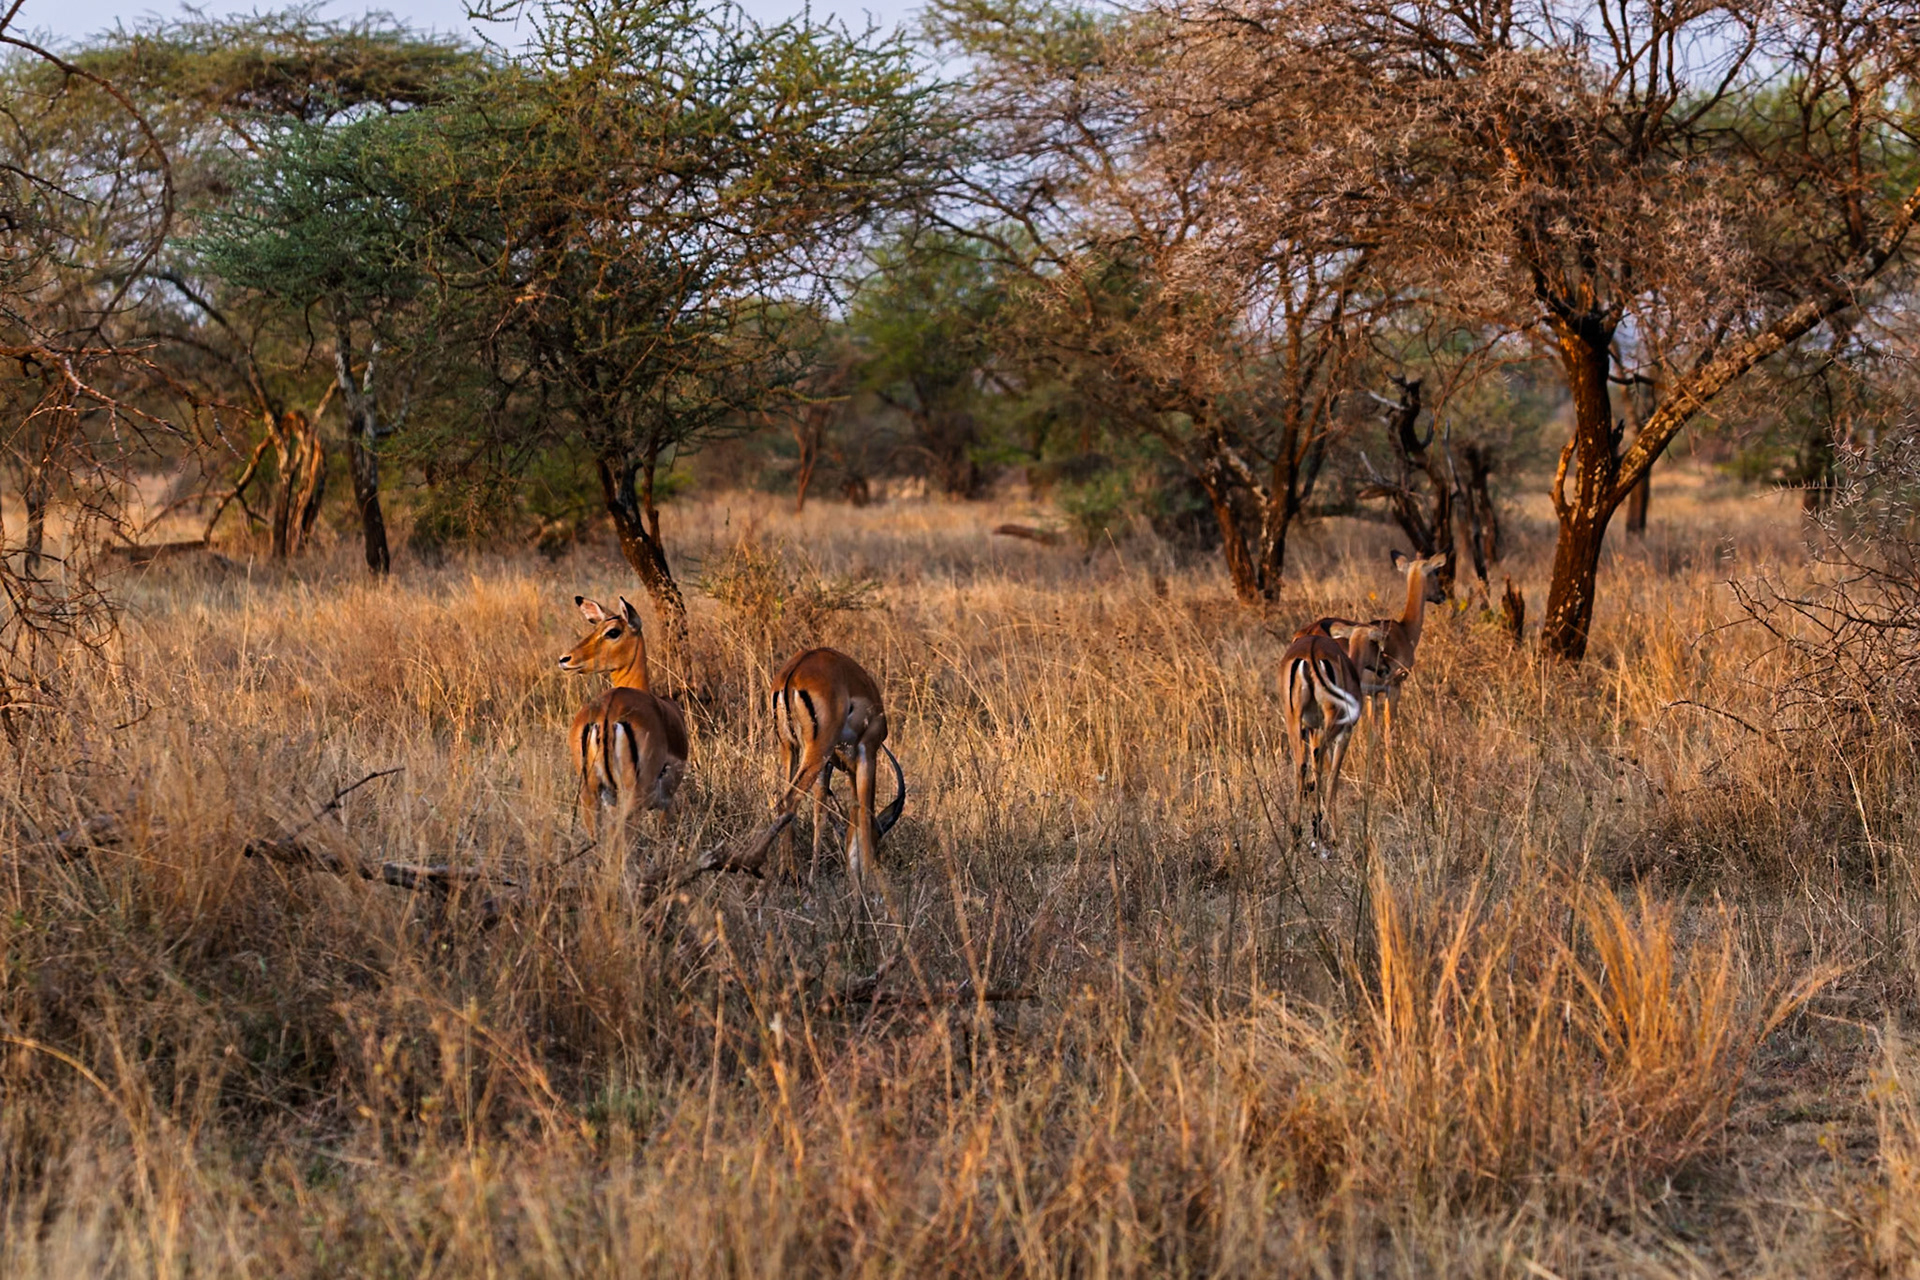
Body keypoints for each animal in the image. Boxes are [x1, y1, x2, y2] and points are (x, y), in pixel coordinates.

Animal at [557, 595, 689, 847]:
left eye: (612, 631)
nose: (565, 659)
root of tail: (606, 715)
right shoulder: (667, 802)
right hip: (632, 796)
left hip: (591, 794)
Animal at [769, 646, 905, 891]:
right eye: (878, 838)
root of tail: (794, 672)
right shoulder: (867, 752)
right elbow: (863, 812)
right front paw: (868, 882)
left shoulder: (828, 765)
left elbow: (821, 813)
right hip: (816, 750)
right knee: (789, 801)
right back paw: (791, 876)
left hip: (790, 748)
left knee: (785, 803)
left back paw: (788, 874)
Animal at [1280, 622, 1385, 847]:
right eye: (1377, 645)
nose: (1385, 667)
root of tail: (1310, 652)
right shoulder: (1345, 731)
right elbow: (1334, 775)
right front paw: (1331, 833)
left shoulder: (1313, 727)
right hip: (1332, 719)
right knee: (1319, 759)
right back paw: (1319, 832)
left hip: (1293, 719)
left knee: (1302, 764)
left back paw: (1297, 833)